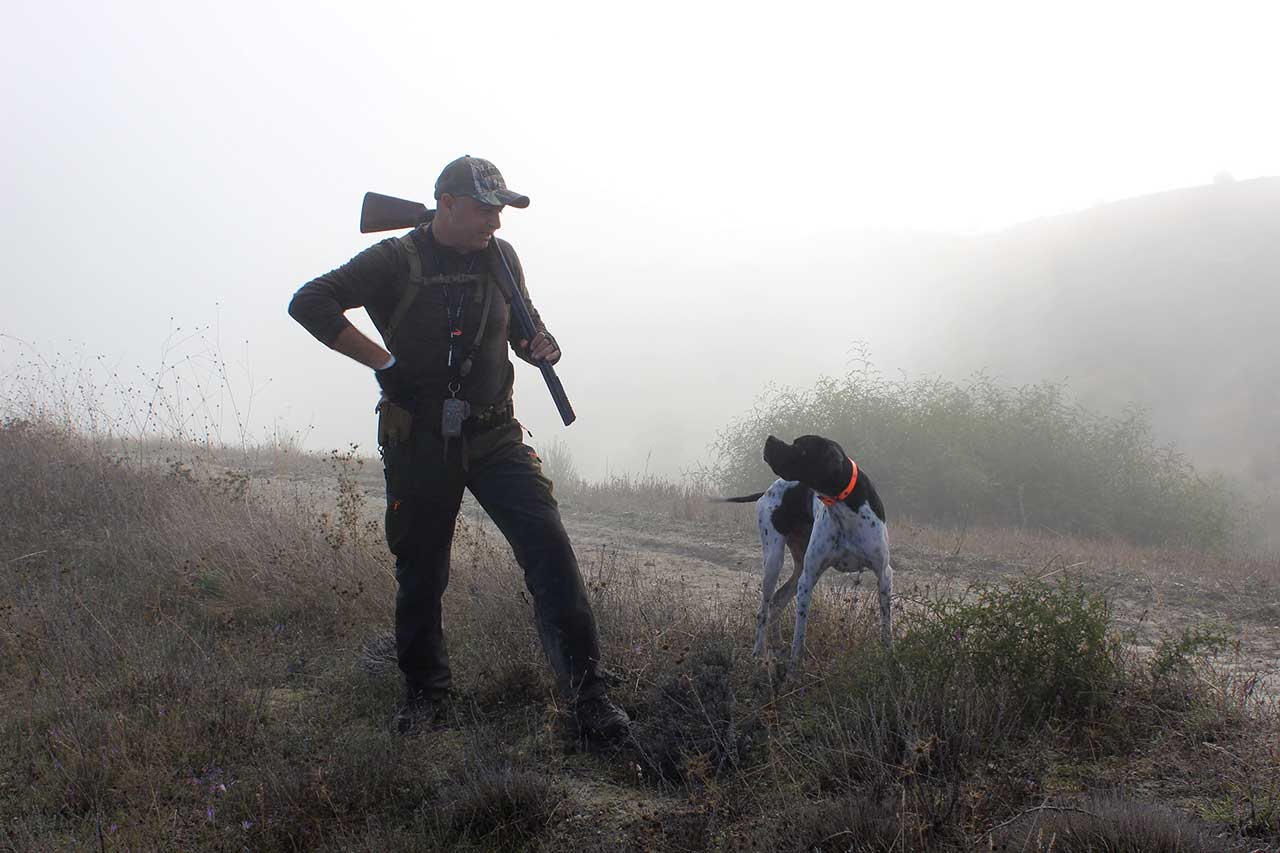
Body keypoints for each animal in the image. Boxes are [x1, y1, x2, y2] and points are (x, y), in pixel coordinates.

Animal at [721, 435, 890, 660]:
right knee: (764, 609)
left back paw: (776, 645)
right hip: (774, 562)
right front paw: (794, 666)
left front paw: (890, 657)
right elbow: (799, 637)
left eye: (800, 447)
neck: (844, 505)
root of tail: (767, 490)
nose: (770, 438)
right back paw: (758, 652)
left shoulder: (884, 575)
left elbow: (887, 629)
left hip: (798, 567)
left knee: (778, 600)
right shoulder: (807, 580)